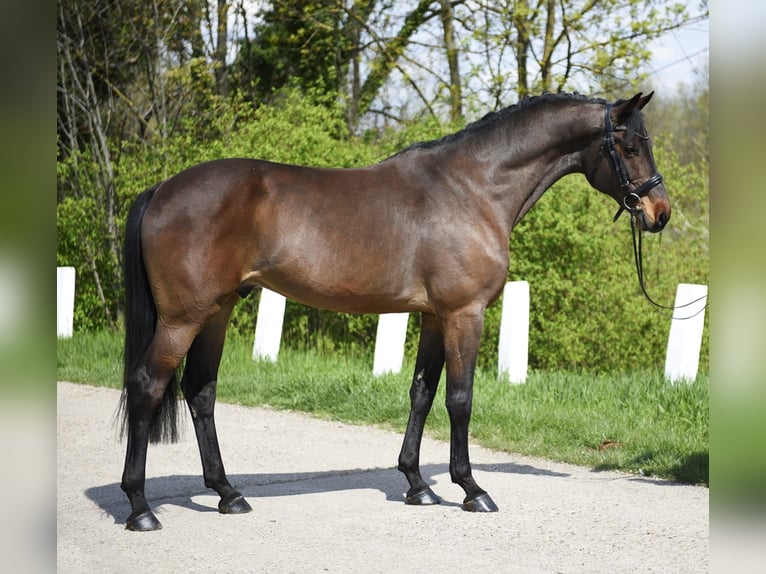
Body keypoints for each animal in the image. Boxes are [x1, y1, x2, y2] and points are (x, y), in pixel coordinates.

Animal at [119, 92, 669, 531]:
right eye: (630, 146)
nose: (659, 213)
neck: (473, 188)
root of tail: (161, 190)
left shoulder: (433, 316)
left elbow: (421, 394)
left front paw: (417, 485)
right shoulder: (464, 314)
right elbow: (460, 400)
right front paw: (472, 490)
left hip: (217, 311)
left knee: (200, 390)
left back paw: (228, 494)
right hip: (182, 319)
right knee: (147, 387)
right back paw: (140, 509)